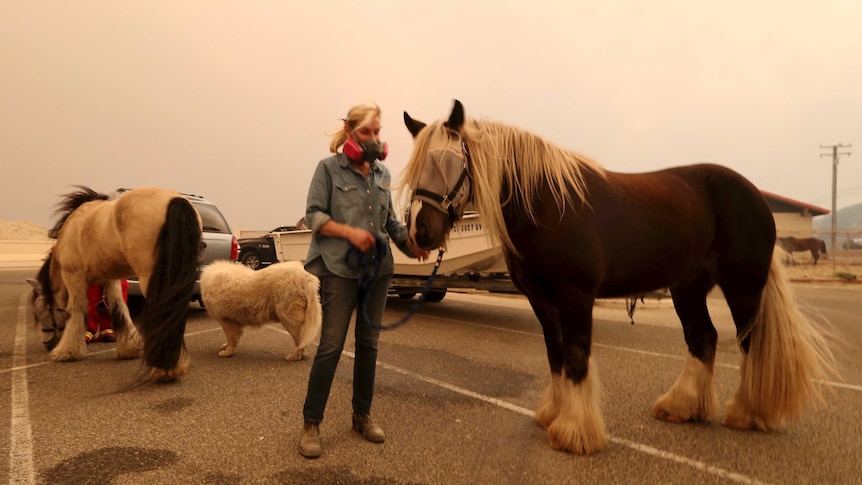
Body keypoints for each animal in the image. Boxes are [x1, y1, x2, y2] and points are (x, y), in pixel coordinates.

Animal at [26, 186, 202, 382]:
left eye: (40, 311)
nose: (48, 344)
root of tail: (175, 200)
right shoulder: (110, 281)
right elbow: (119, 310)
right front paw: (130, 348)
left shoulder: (74, 278)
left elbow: (76, 312)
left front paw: (67, 352)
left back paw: (164, 369)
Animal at [402, 99, 840, 454]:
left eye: (446, 161)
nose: (421, 232)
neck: (548, 204)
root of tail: (757, 197)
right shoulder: (543, 302)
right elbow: (556, 356)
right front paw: (553, 414)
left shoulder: (576, 296)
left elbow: (576, 357)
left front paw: (576, 432)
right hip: (688, 288)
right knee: (703, 338)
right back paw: (682, 406)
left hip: (743, 287)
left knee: (750, 341)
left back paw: (747, 413)